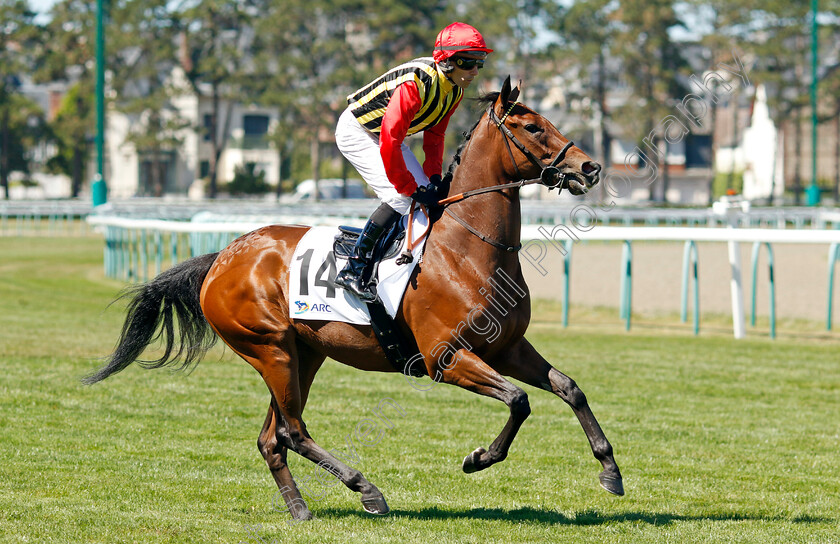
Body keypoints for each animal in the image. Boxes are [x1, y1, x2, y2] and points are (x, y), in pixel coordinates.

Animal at [85, 75, 624, 520]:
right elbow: (519, 400)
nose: (591, 166)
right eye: (532, 126)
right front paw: (479, 458)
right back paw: (368, 491)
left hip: (303, 353)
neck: (468, 247)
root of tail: (223, 257)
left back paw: (300, 508)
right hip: (271, 350)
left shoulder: (507, 347)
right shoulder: (444, 358)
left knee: (272, 437)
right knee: (293, 431)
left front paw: (610, 470)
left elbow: (568, 388)